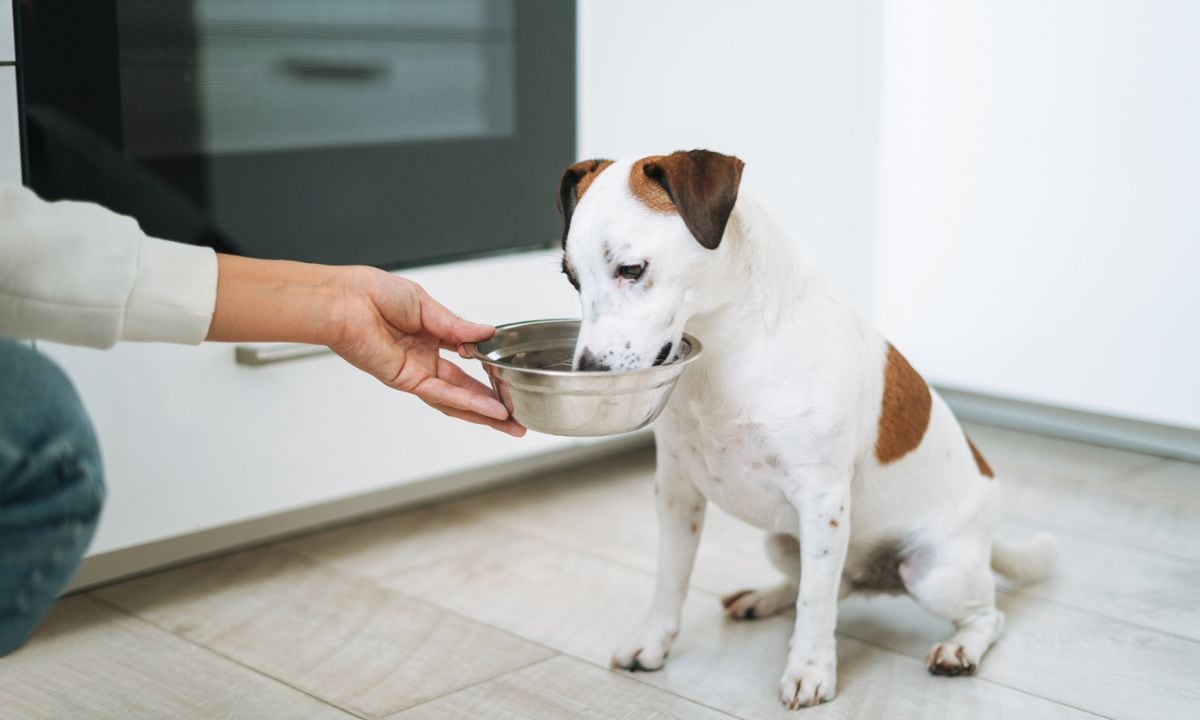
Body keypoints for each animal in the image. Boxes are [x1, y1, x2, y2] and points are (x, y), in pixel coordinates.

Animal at [556, 150, 1056, 710]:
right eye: (571, 278)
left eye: (631, 269)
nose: (589, 373)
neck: (728, 347)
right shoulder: (677, 491)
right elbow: (671, 578)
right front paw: (652, 643)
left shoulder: (822, 501)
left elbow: (815, 606)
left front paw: (810, 671)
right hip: (783, 541)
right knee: (824, 585)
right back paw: (764, 598)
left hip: (934, 571)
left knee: (985, 616)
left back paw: (960, 648)